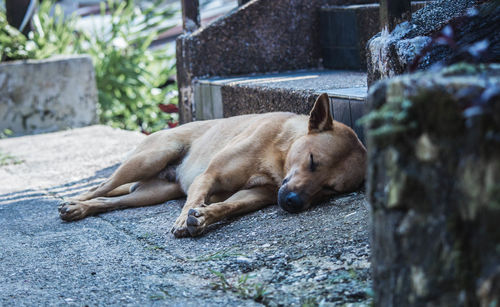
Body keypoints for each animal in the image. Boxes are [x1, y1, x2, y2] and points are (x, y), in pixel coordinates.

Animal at [58, 94, 366, 238]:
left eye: (330, 189)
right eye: (312, 161)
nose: (293, 203)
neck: (278, 155)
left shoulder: (255, 195)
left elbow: (227, 205)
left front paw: (203, 217)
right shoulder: (209, 176)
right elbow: (194, 200)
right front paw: (184, 219)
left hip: (151, 193)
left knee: (111, 201)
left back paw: (85, 208)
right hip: (150, 158)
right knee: (100, 187)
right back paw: (74, 202)